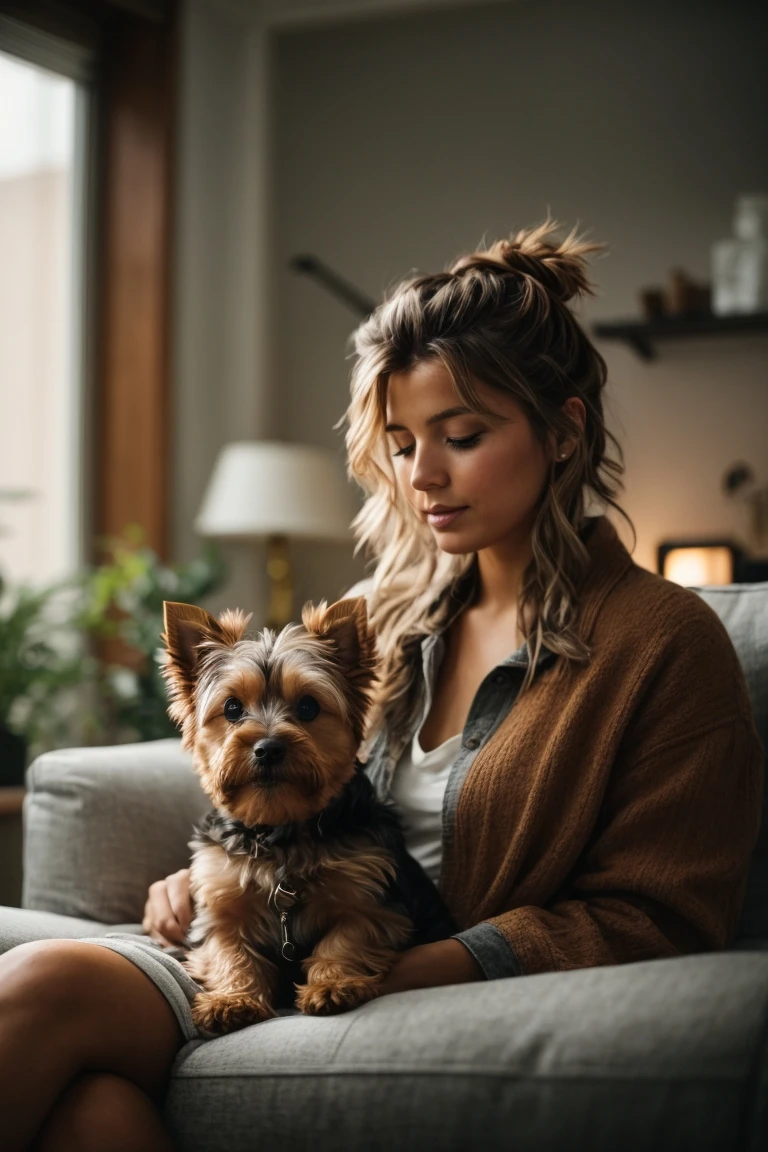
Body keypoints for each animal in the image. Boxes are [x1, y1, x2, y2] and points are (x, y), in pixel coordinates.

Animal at [158, 594, 453, 1036]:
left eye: (309, 706)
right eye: (232, 708)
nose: (267, 748)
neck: (280, 829)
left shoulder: (373, 902)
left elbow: (345, 938)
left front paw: (332, 986)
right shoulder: (220, 903)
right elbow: (228, 950)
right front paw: (232, 999)